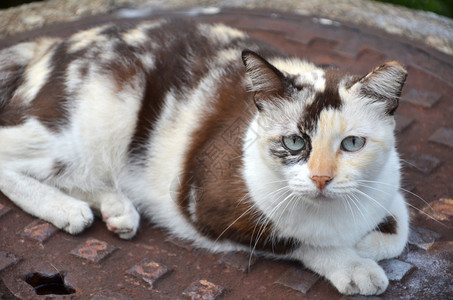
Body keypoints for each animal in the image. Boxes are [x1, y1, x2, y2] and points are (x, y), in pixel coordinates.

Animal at [0, 18, 408, 296]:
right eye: (294, 142)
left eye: (352, 144)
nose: (322, 178)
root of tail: (49, 46)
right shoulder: (208, 204)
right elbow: (297, 239)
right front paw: (353, 264)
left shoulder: (390, 186)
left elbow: (398, 233)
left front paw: (366, 243)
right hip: (91, 123)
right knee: (13, 155)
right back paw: (67, 209)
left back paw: (118, 208)